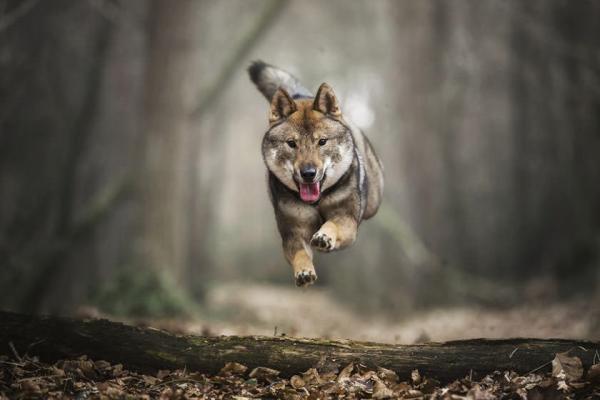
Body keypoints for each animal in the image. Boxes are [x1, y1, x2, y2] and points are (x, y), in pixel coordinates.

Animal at [248, 61, 384, 288]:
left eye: (322, 142)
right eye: (292, 144)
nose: (308, 173)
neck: (316, 202)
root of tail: (302, 94)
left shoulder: (347, 222)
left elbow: (331, 224)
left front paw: (324, 237)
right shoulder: (293, 235)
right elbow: (301, 254)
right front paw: (304, 272)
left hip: (373, 202)